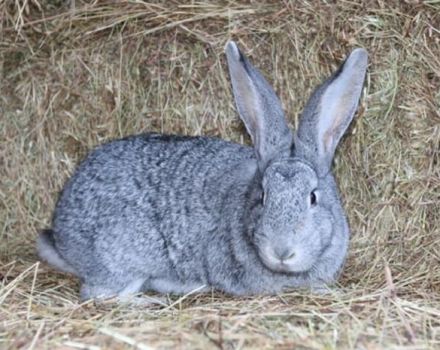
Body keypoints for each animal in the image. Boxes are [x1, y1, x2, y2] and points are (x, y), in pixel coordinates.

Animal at [37, 39, 368, 300]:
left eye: (313, 197)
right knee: (99, 294)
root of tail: (62, 233)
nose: (282, 251)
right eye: (262, 196)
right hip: (122, 257)